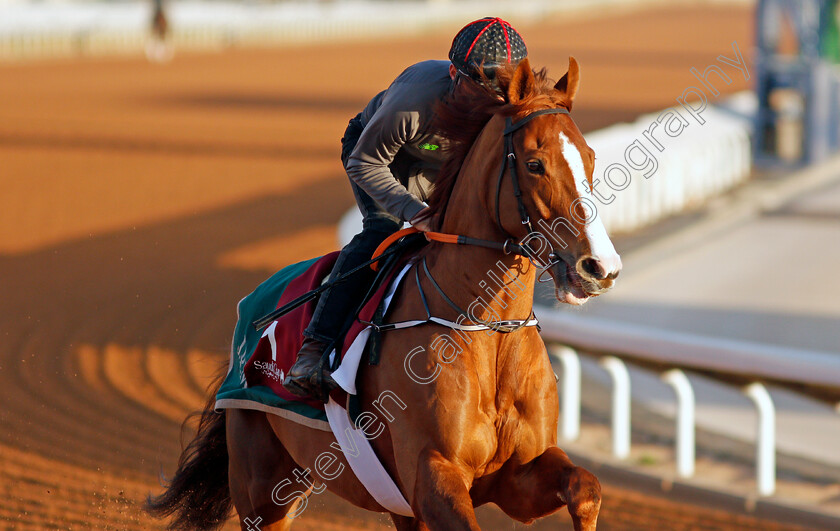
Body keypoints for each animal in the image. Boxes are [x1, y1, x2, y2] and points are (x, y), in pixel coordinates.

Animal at [148, 57, 624, 531]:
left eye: (590, 157)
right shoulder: (432, 473)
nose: (600, 267)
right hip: (263, 485)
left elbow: (586, 488)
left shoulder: (516, 477)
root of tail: (253, 303)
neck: (489, 331)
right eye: (534, 163)